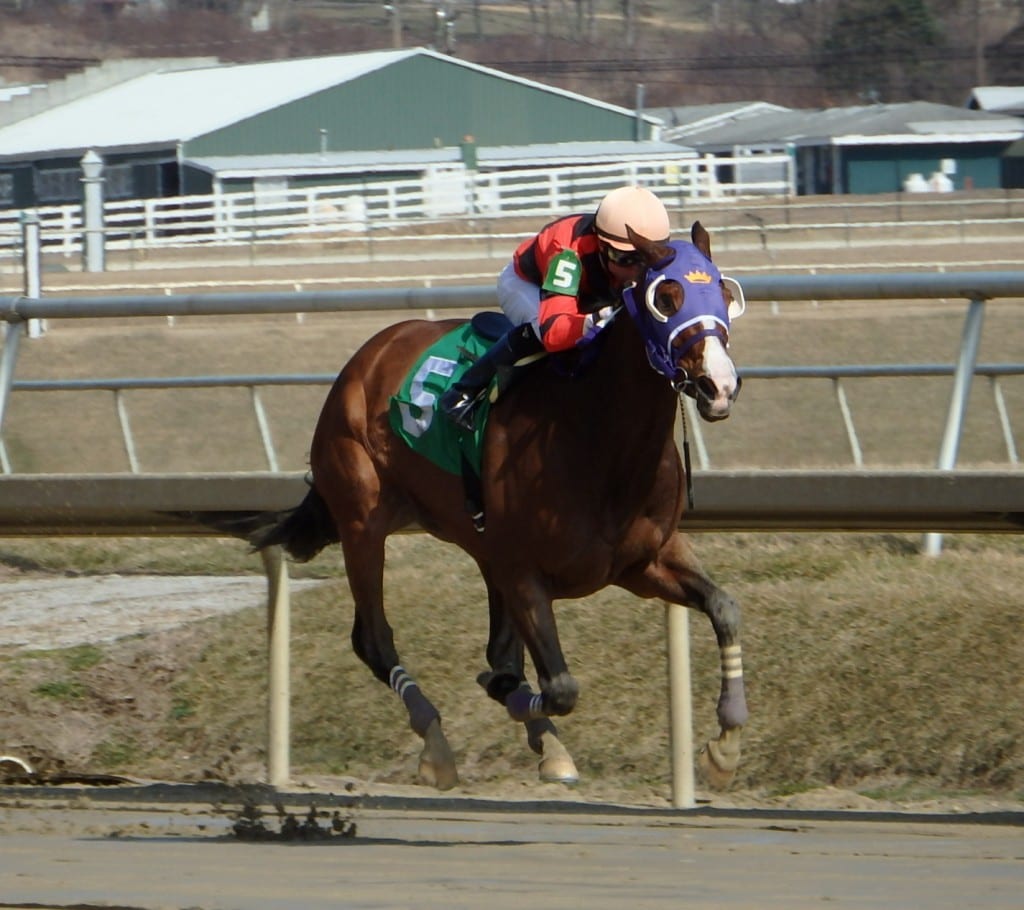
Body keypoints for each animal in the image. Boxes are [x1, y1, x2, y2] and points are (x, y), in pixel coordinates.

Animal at [247, 220, 745, 790]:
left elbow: (724, 608)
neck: (598, 436)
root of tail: (369, 354)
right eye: (666, 297)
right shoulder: (525, 572)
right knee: (373, 638)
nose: (719, 386)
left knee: (496, 649)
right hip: (362, 519)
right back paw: (437, 743)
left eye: (723, 293)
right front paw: (515, 704)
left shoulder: (642, 562)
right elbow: (558, 687)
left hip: (478, 546)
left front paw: (725, 745)